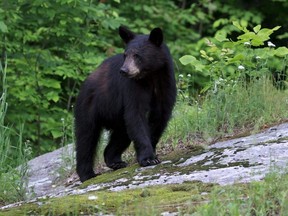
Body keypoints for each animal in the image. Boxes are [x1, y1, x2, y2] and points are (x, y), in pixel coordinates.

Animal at [74, 26, 177, 182]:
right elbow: (136, 115)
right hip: (90, 105)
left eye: (137, 55)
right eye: (125, 55)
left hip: (118, 118)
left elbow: (160, 117)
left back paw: (114, 161)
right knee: (86, 137)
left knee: (121, 135)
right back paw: (87, 174)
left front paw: (153, 153)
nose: (124, 70)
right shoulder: (133, 88)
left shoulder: (166, 84)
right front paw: (148, 158)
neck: (151, 76)